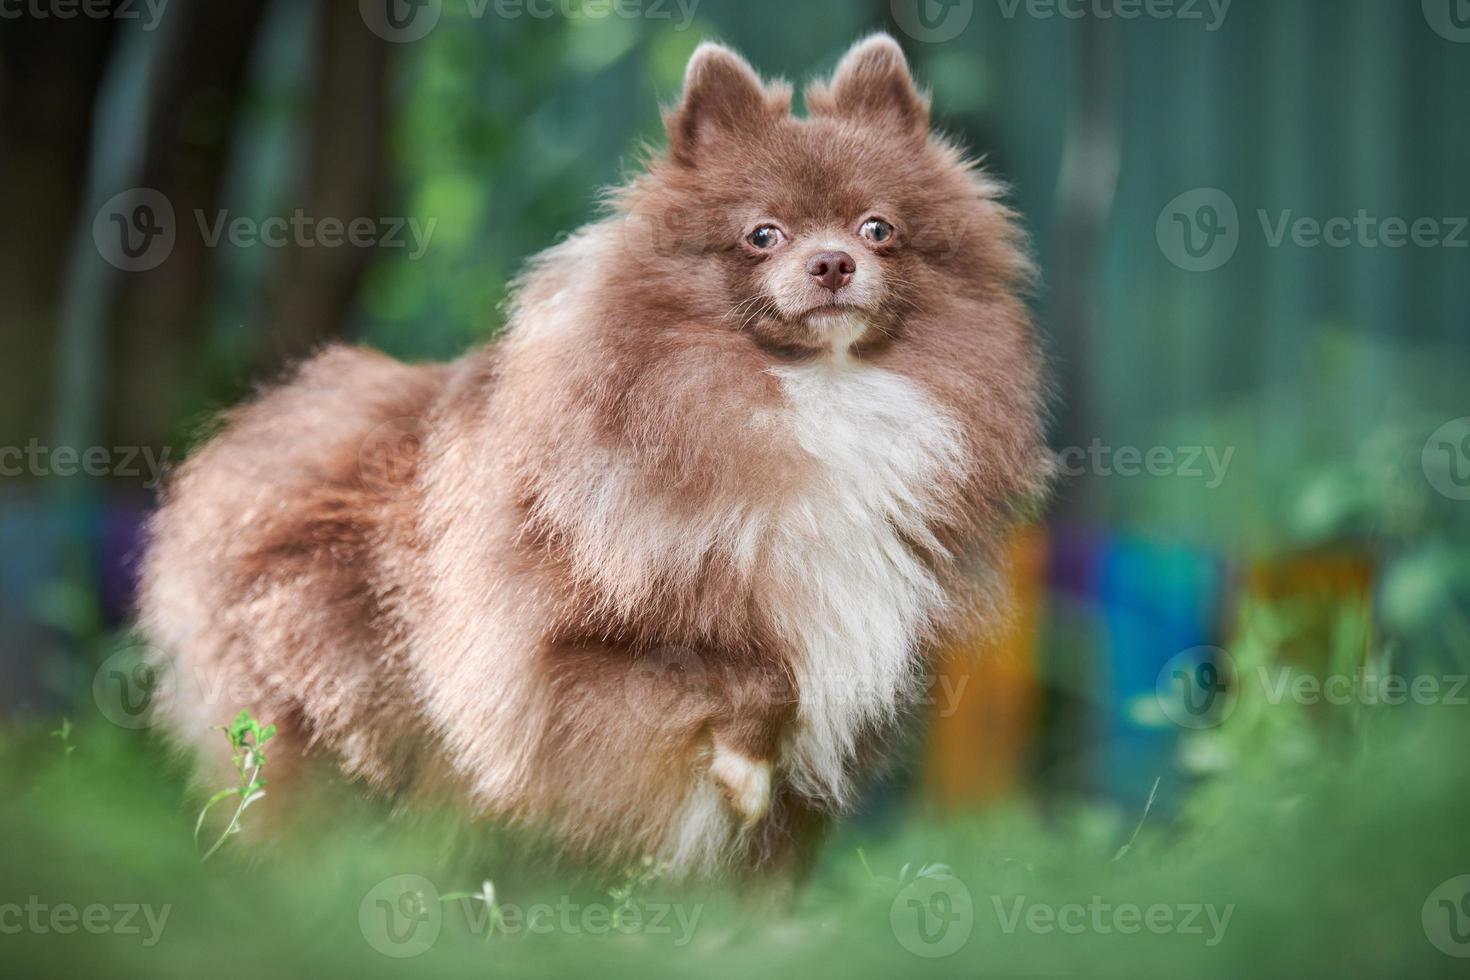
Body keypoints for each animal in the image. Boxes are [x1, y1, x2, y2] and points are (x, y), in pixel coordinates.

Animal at [138, 36, 1052, 881]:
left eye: (878, 229)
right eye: (763, 235)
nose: (833, 262)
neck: (814, 401)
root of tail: (258, 428)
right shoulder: (561, 648)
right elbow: (753, 669)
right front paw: (743, 766)